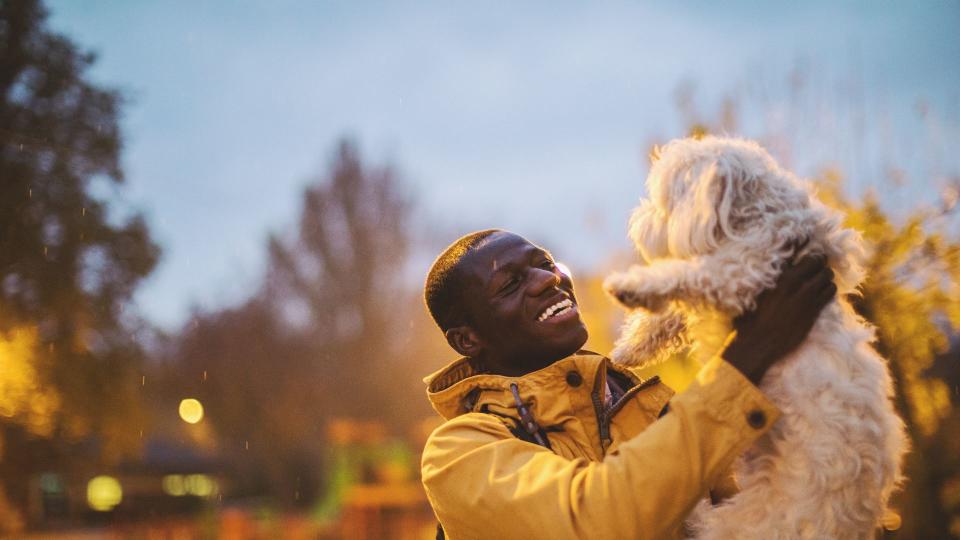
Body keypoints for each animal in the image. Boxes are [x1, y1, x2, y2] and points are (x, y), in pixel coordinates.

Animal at [608, 136, 908, 540]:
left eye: (661, 201)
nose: (636, 222)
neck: (761, 219)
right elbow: (674, 311)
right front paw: (632, 347)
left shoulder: (745, 270)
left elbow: (691, 275)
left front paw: (631, 287)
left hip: (736, 525)